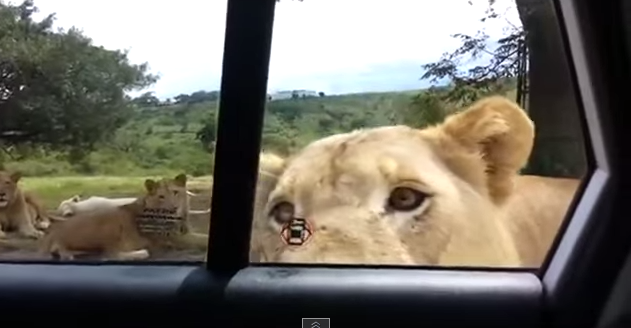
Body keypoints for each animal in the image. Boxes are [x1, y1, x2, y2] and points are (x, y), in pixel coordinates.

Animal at [39, 174, 207, 262]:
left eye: (175, 192)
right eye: (161, 196)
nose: (173, 208)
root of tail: (54, 231)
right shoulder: (176, 238)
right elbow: (201, 240)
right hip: (109, 225)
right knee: (109, 255)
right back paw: (142, 252)